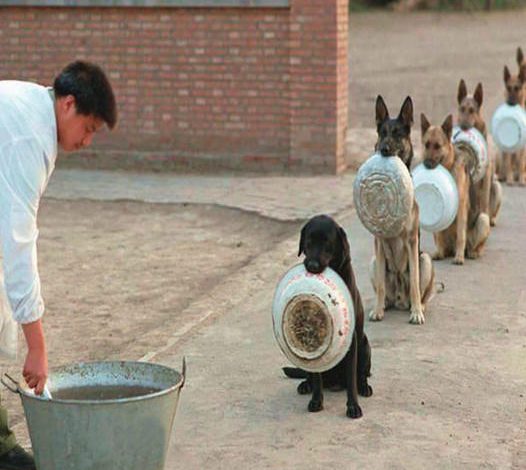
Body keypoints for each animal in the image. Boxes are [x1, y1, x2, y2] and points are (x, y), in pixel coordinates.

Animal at [282, 216, 374, 418]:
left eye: (327, 244)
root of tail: (334, 382)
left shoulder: (352, 341)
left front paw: (353, 407)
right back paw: (305, 385)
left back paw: (364, 387)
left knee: (361, 375)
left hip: (365, 345)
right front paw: (316, 400)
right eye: (308, 242)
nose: (312, 266)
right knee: (311, 376)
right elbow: (317, 379)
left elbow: (351, 380)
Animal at [370, 95, 436, 324]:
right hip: (375, 261)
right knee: (384, 290)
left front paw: (416, 313)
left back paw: (419, 307)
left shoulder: (411, 240)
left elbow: (415, 283)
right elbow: (381, 286)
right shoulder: (379, 242)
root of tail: (399, 300)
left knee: (422, 292)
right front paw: (377, 310)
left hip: (425, 259)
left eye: (397, 134)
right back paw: (384, 305)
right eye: (382, 133)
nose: (384, 149)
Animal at [458, 80, 504, 227]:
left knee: (490, 209)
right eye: (462, 109)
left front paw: (484, 218)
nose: (463, 126)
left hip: (496, 186)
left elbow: (484, 200)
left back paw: (490, 219)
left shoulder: (487, 174)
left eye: (472, 111)